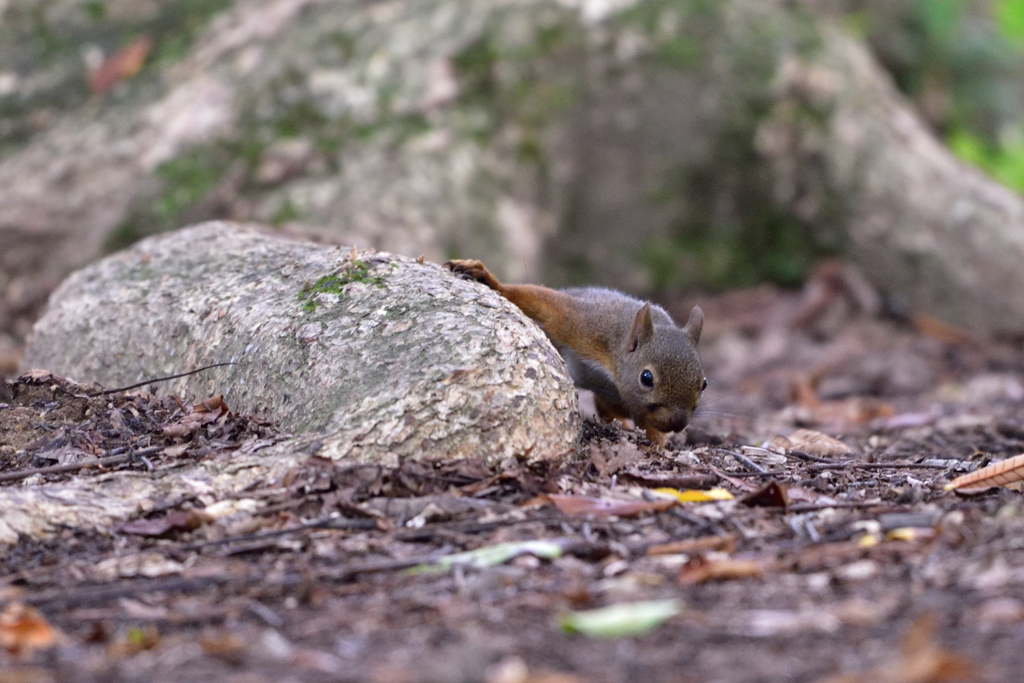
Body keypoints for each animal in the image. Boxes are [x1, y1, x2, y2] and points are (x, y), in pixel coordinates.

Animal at [442, 259, 704, 446]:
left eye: (704, 383)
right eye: (646, 378)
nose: (678, 423)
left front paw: (658, 442)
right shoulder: (586, 325)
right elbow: (546, 305)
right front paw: (488, 278)